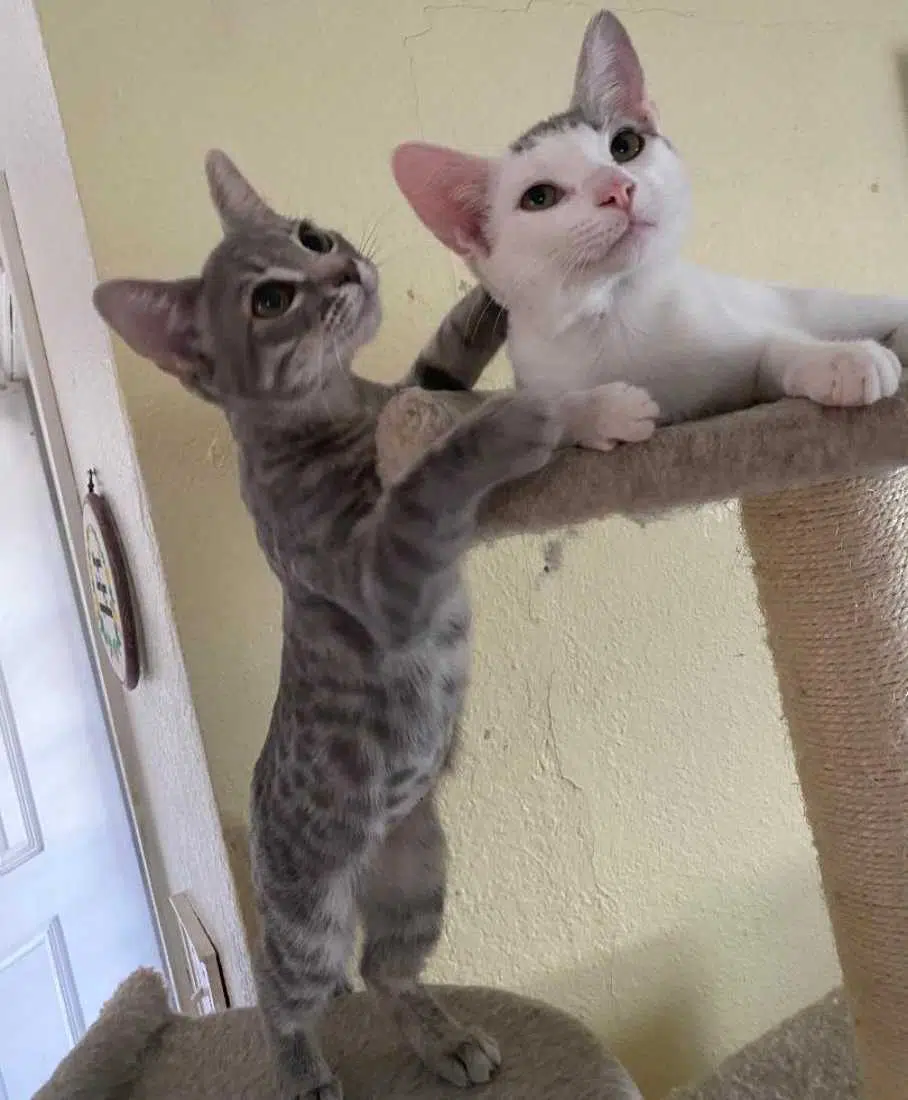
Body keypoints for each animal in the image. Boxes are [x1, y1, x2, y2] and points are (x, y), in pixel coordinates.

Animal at [92, 151, 577, 1100]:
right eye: (271, 299)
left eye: (312, 235)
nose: (344, 268)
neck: (336, 405)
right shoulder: (384, 580)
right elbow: (433, 473)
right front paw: (510, 419)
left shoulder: (409, 387)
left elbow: (440, 362)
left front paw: (492, 287)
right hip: (309, 920)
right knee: (286, 991)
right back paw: (303, 1070)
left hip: (421, 879)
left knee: (388, 971)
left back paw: (444, 1038)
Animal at [393, 9, 908, 443]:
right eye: (539, 198)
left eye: (624, 146)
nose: (617, 188)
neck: (617, 313)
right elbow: (538, 414)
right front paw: (603, 410)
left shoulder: (743, 345)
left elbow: (775, 347)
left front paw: (840, 359)